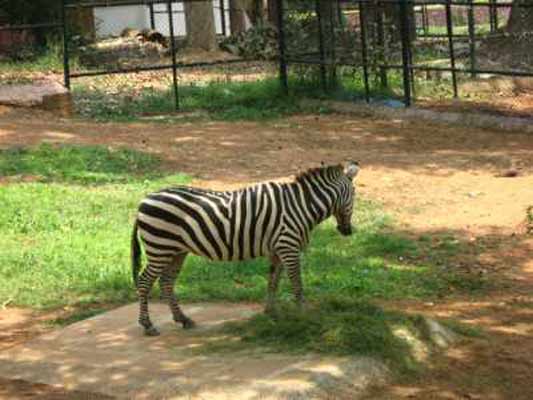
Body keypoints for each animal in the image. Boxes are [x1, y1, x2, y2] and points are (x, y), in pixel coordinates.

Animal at [131, 161, 360, 336]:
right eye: (355, 195)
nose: (348, 231)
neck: (301, 206)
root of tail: (144, 200)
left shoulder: (277, 250)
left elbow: (273, 282)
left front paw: (271, 313)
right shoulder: (288, 247)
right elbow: (297, 284)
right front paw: (303, 314)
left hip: (176, 251)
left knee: (166, 282)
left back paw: (183, 319)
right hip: (159, 248)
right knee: (144, 282)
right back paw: (148, 325)